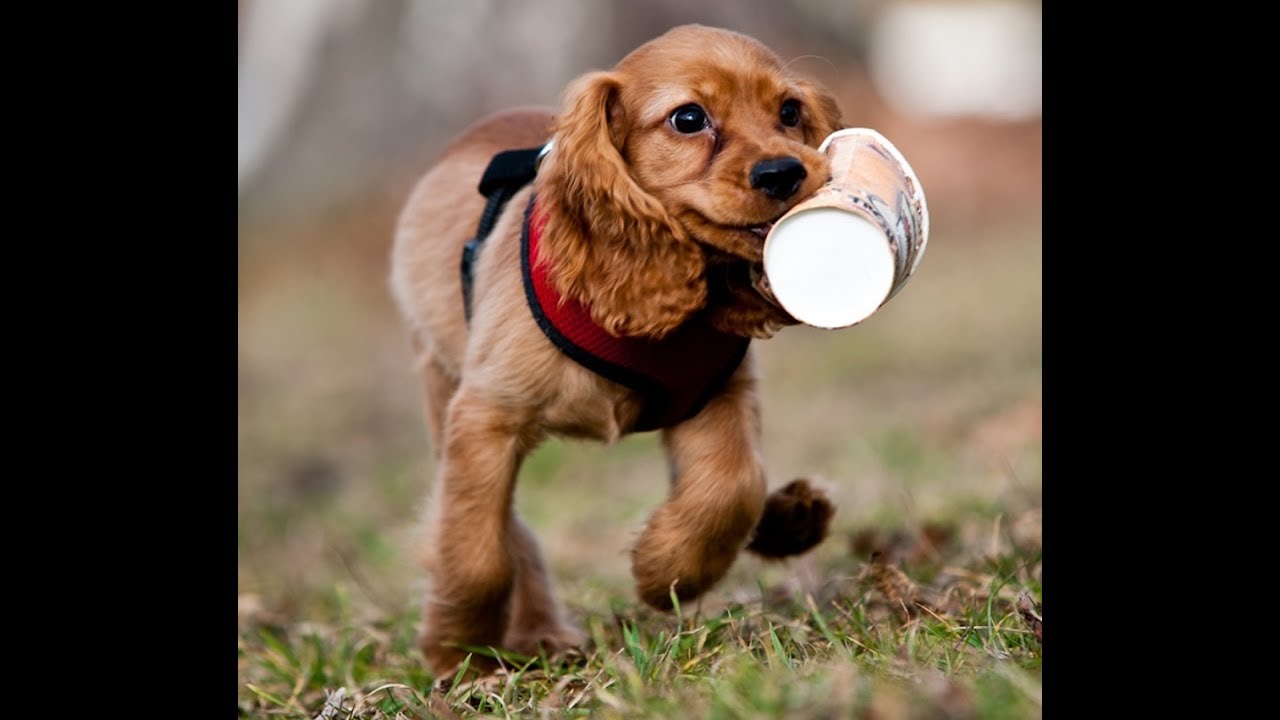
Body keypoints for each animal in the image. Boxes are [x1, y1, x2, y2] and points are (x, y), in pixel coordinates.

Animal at [389, 23, 849, 671]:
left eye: (789, 111)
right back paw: (538, 633)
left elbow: (731, 487)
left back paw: (789, 519)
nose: (784, 173)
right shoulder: (485, 417)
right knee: (506, 527)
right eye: (688, 118)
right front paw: (459, 650)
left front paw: (666, 570)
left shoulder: (718, 394)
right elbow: (478, 549)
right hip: (441, 384)